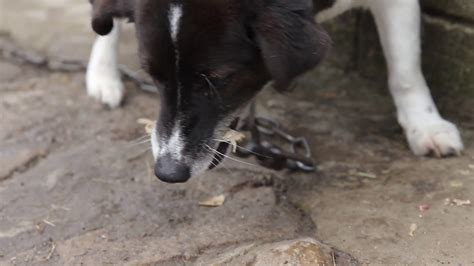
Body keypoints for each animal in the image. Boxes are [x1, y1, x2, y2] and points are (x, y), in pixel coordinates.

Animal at [86, 0, 462, 183]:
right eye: (152, 75)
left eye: (220, 80)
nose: (168, 172)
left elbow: (405, 70)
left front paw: (426, 126)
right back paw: (102, 72)